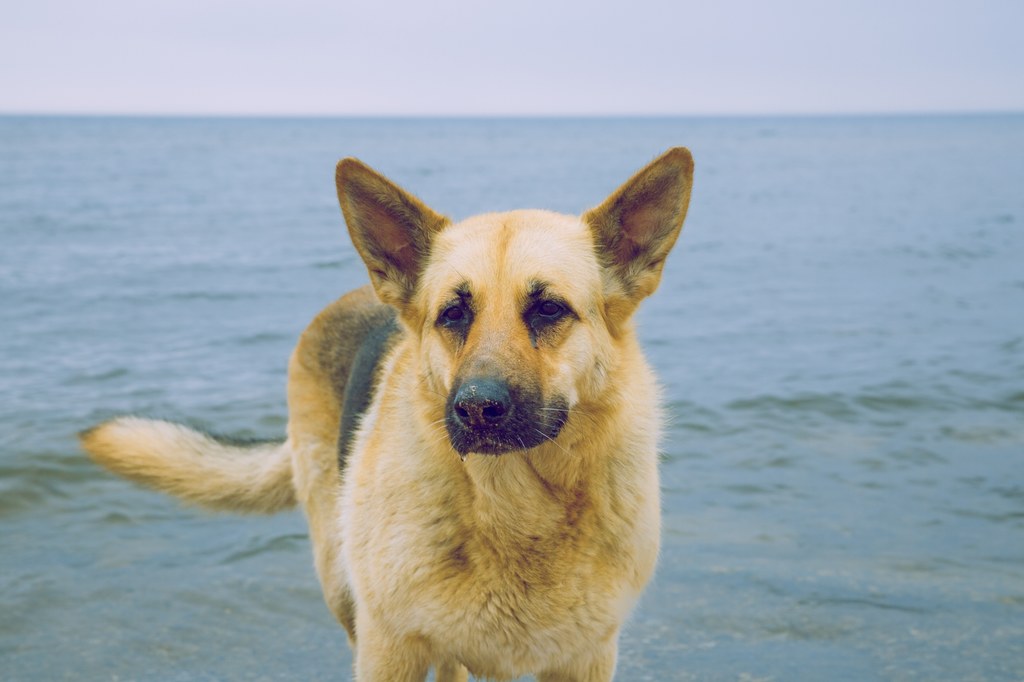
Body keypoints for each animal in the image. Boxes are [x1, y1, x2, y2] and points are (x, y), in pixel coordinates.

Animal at [81, 148, 696, 679]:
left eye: (548, 309)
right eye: (453, 313)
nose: (476, 409)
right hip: (341, 582)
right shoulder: (389, 650)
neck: (512, 506)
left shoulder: (584, 660)